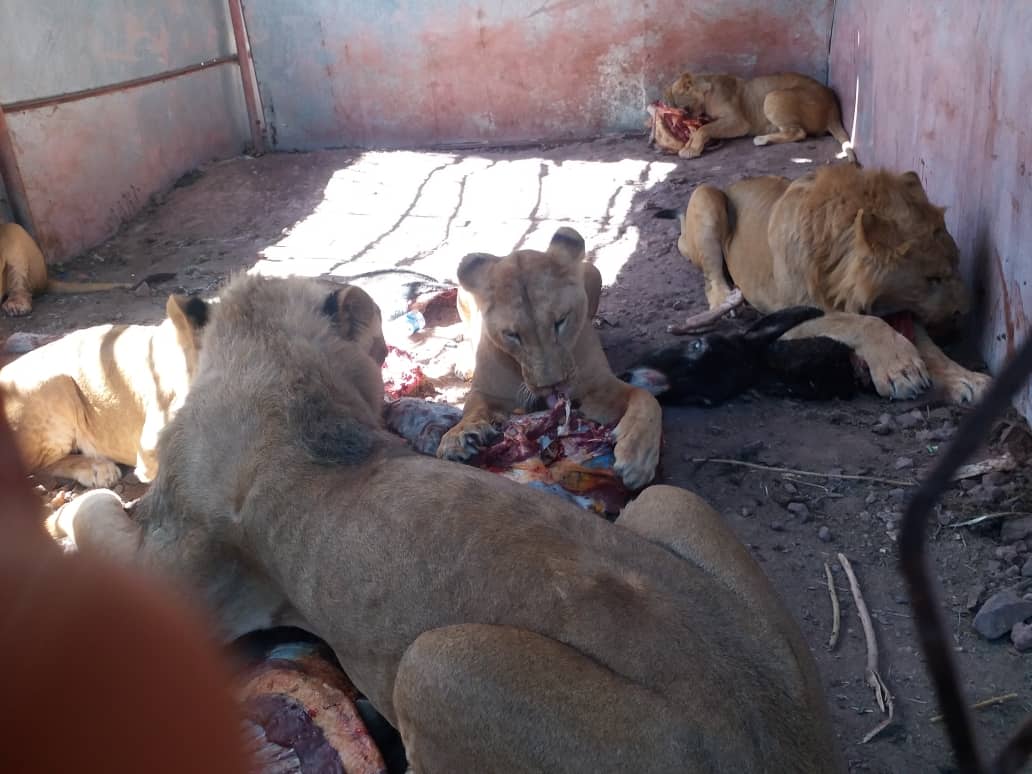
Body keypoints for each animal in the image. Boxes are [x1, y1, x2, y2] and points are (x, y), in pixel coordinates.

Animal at [48, 274, 842, 774]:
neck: (279, 377)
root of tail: (783, 745)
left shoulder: (165, 584)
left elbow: (95, 521)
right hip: (672, 511)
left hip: (434, 668)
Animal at [664, 72, 858, 164]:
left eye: (681, 107)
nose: (677, 113)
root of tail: (833, 108)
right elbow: (698, 130)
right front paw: (688, 146)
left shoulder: (738, 122)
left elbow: (704, 128)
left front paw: (691, 149)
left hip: (773, 96)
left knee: (799, 132)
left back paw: (762, 139)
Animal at [668, 164, 990, 406]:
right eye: (933, 279)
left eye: (957, 265)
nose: (964, 311)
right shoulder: (788, 312)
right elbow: (859, 322)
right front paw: (901, 370)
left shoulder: (900, 311)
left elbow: (929, 347)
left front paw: (966, 378)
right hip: (707, 197)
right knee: (712, 279)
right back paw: (727, 301)